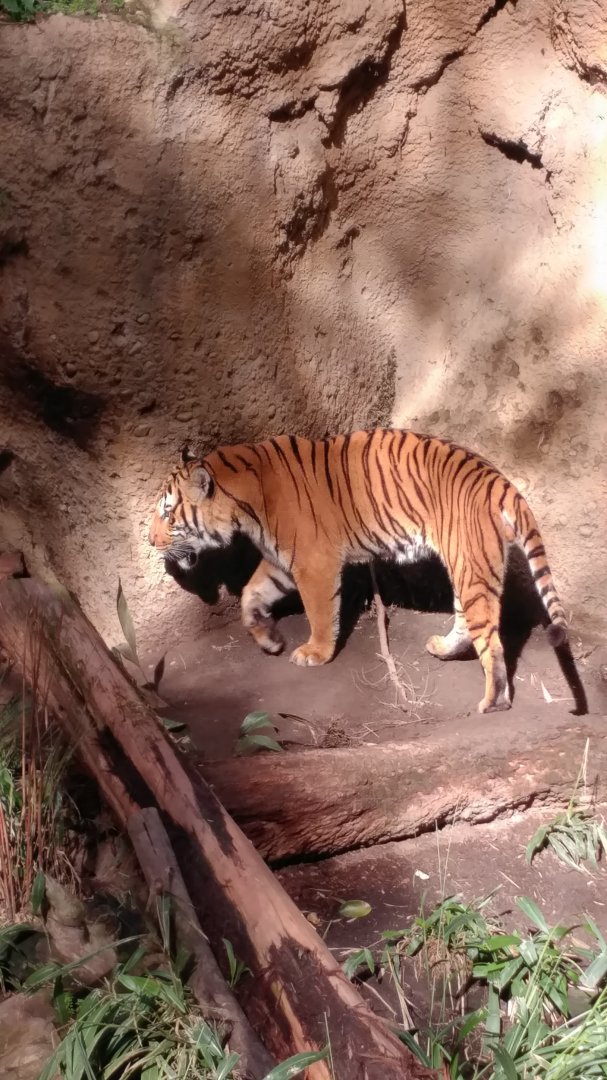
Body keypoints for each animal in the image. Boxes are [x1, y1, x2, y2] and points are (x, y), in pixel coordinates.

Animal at [148, 429, 568, 714]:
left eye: (168, 514)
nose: (151, 541)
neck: (243, 499)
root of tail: (499, 481)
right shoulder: (282, 561)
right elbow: (252, 593)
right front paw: (268, 639)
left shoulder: (313, 562)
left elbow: (319, 613)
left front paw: (314, 653)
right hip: (469, 568)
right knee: (469, 622)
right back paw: (443, 648)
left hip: (471, 567)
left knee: (492, 642)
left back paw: (492, 702)